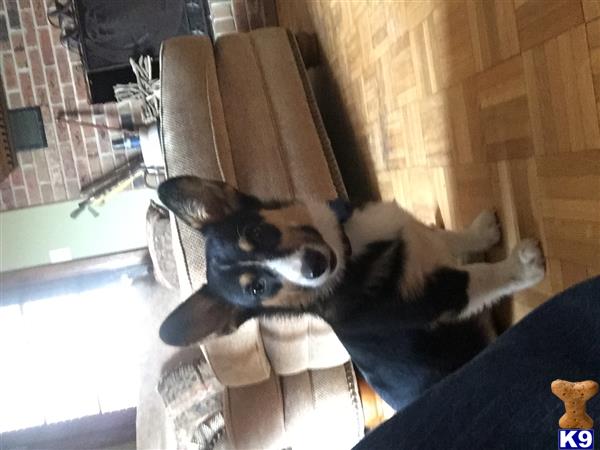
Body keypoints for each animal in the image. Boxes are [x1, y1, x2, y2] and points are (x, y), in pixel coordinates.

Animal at [157, 178, 548, 410]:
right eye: (257, 288)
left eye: (256, 231)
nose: (313, 266)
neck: (347, 252)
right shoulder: (429, 300)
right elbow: (480, 277)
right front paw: (524, 266)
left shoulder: (423, 243)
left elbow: (450, 238)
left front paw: (481, 232)